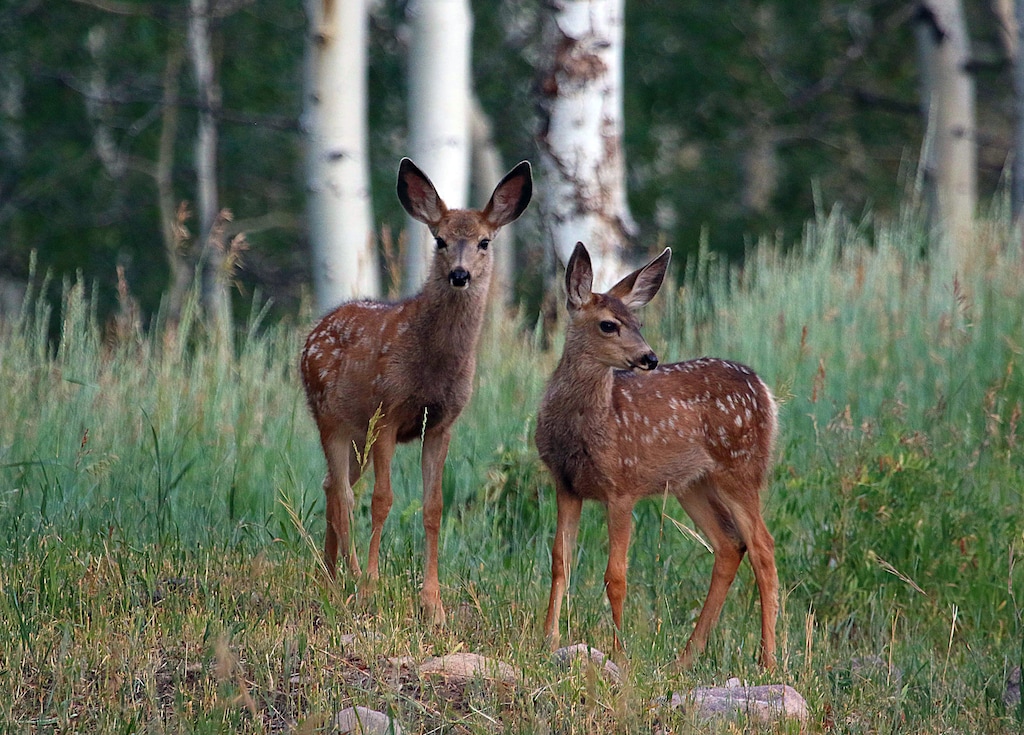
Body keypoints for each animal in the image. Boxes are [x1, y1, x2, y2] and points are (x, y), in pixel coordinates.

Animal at [300, 157, 532, 625]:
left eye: (484, 241)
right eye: (440, 240)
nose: (459, 274)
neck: (431, 366)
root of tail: (312, 334)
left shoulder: (441, 424)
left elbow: (434, 507)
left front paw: (433, 605)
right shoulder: (388, 413)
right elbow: (382, 499)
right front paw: (371, 588)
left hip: (356, 435)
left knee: (331, 486)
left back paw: (330, 578)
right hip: (330, 418)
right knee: (345, 495)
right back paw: (350, 577)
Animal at [534, 241, 779, 669]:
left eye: (639, 323)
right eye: (609, 325)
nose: (649, 358)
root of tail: (765, 390)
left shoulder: (622, 484)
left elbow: (616, 575)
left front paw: (620, 652)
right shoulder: (566, 484)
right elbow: (559, 562)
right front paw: (548, 640)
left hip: (740, 467)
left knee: (763, 550)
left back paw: (768, 660)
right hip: (692, 483)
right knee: (730, 545)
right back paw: (686, 657)